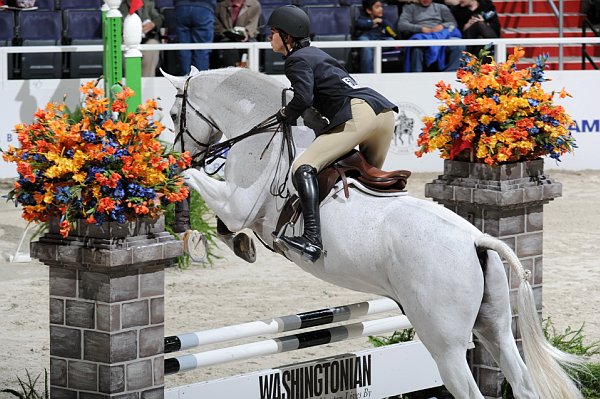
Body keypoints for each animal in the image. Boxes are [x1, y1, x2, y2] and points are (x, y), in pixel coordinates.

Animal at [162, 67, 584, 398]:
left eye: (173, 113)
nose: (183, 152)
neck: (259, 132)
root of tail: (476, 239)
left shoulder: (239, 203)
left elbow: (195, 181)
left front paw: (188, 229)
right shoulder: (238, 207)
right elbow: (222, 220)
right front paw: (237, 244)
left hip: (445, 344)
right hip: (494, 328)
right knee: (521, 379)